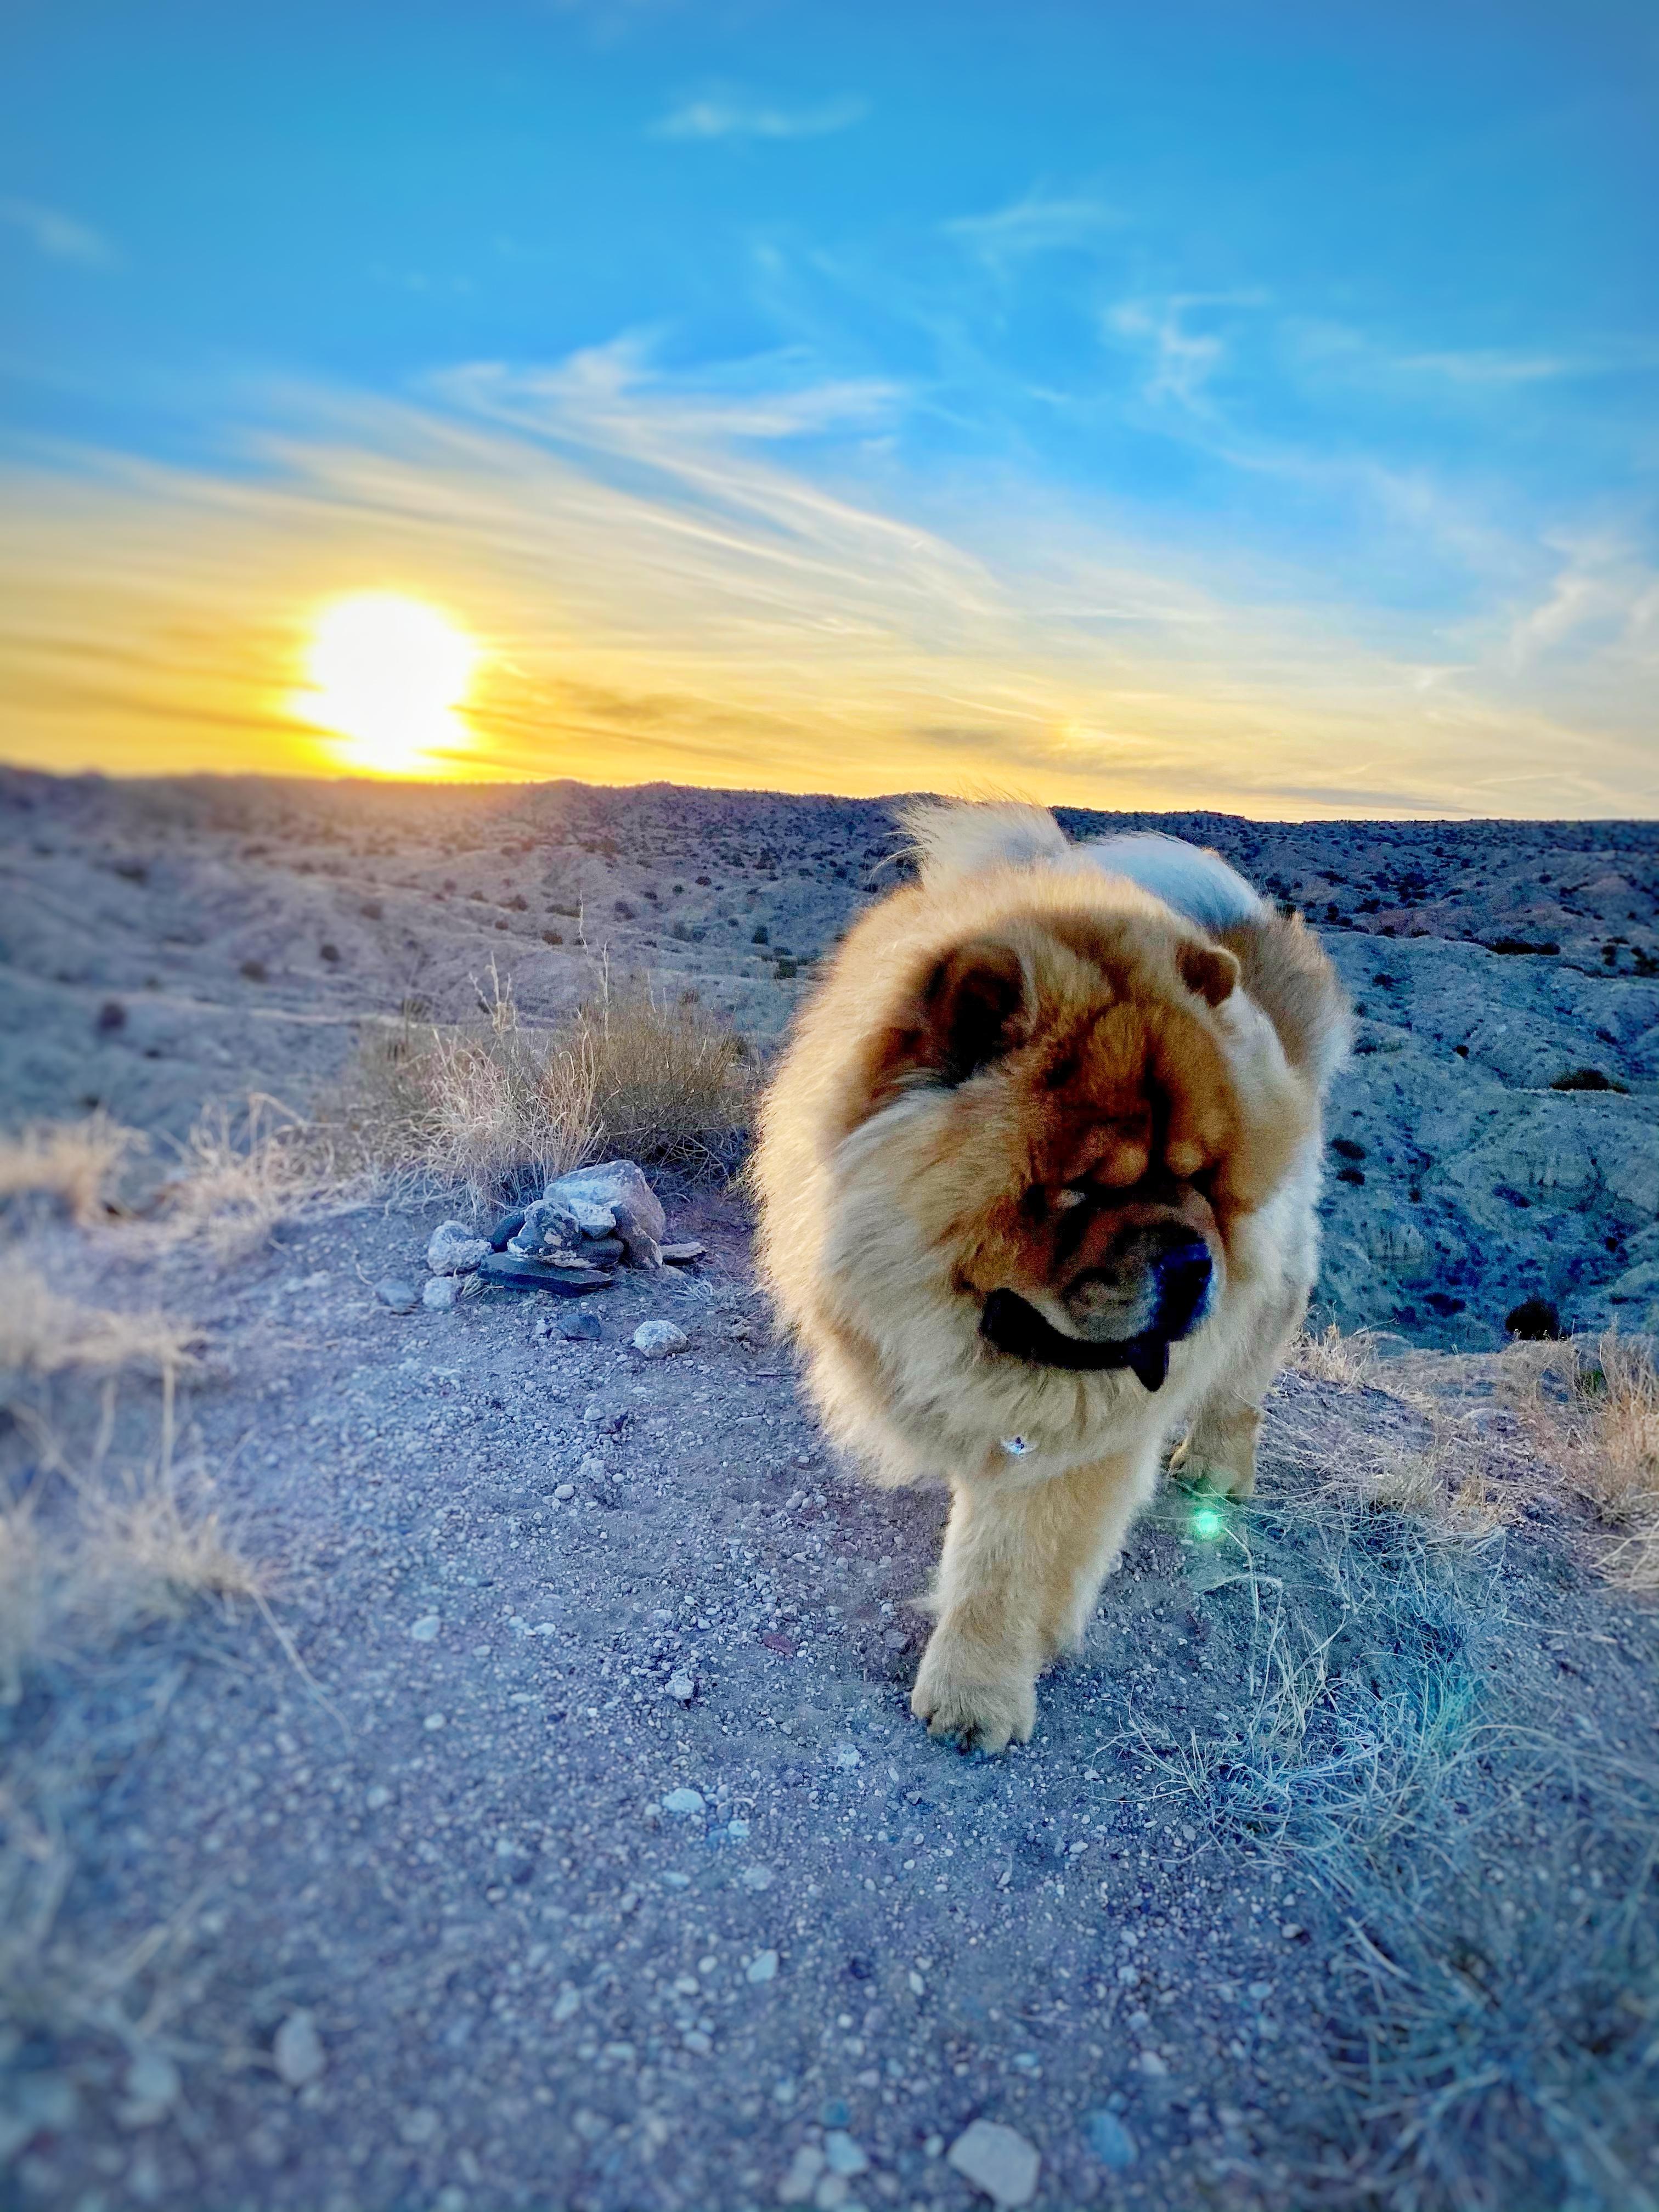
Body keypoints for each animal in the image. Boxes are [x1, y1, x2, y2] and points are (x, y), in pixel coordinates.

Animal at [753, 800, 1350, 1751]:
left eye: (1200, 1179)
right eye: (1081, 1189)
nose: (1193, 1263)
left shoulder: (1073, 1432)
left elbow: (1009, 1564)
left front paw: (975, 1698)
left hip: (1273, 1278)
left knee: (1245, 1372)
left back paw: (1218, 1465)